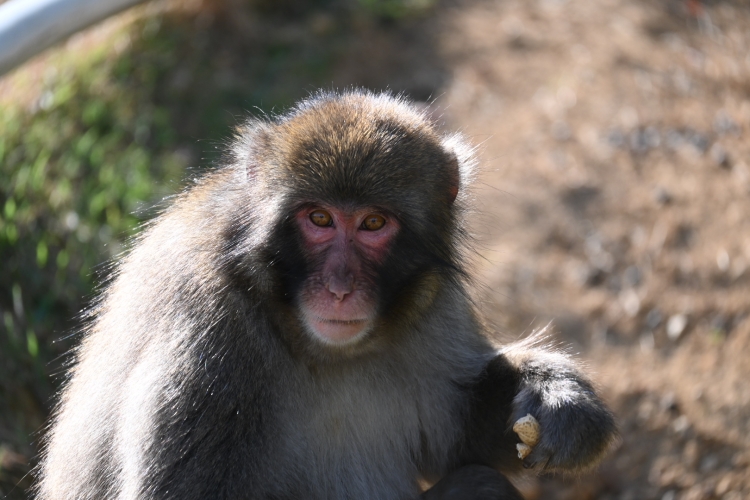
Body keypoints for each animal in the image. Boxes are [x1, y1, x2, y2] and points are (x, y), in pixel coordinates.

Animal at [35, 91, 616, 500]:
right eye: (318, 218)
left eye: (373, 224)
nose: (338, 288)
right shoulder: (203, 342)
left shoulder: (432, 306)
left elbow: (457, 438)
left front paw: (559, 399)